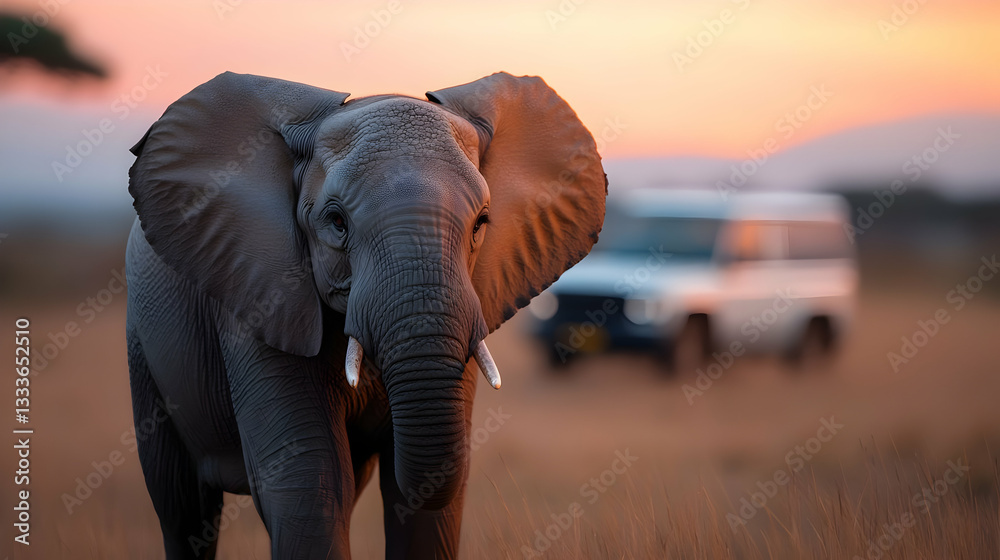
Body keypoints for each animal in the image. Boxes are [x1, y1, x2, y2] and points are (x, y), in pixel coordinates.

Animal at [125, 70, 606, 559]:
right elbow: (309, 482)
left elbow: (427, 500)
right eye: (337, 222)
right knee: (181, 506)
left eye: (481, 224)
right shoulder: (258, 297)